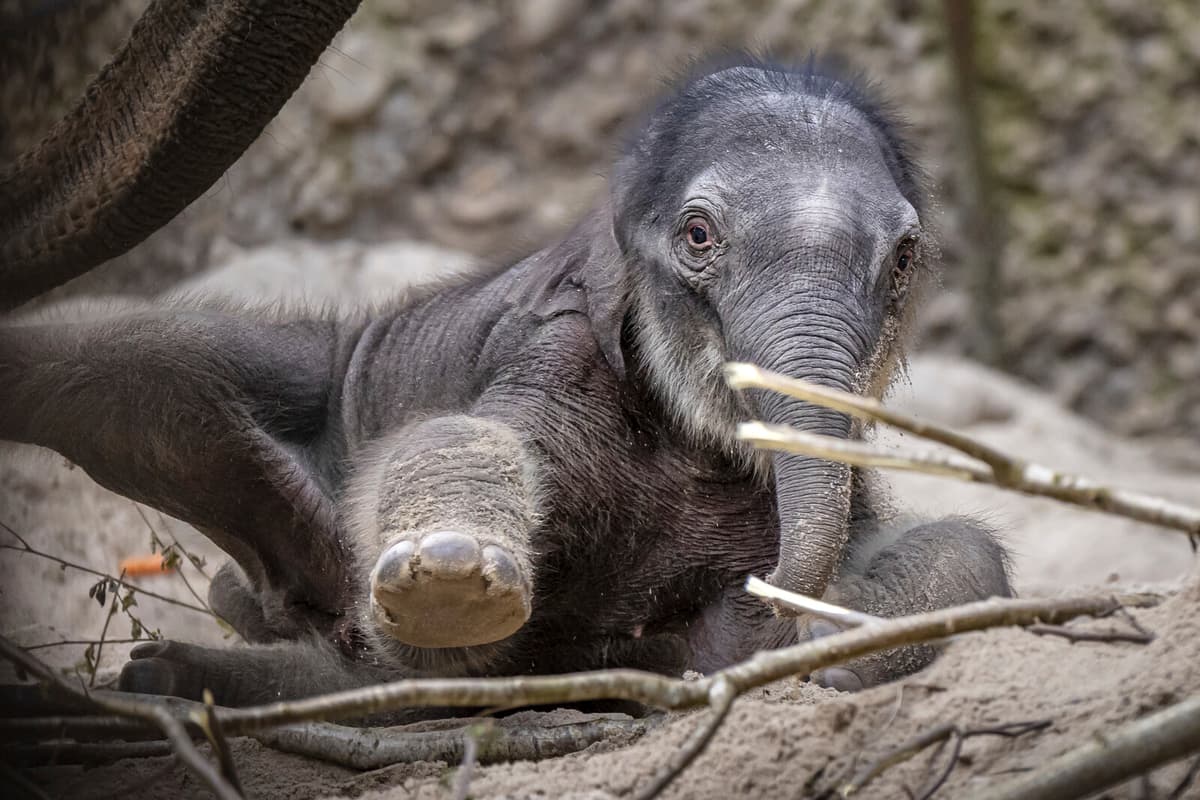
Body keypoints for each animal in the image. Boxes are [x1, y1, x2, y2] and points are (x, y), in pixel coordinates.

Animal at [1, 11, 1012, 709]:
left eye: (904, 258)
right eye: (698, 236)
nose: (782, 610)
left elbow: (948, 549)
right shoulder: (556, 348)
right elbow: (463, 438)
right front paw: (446, 583)